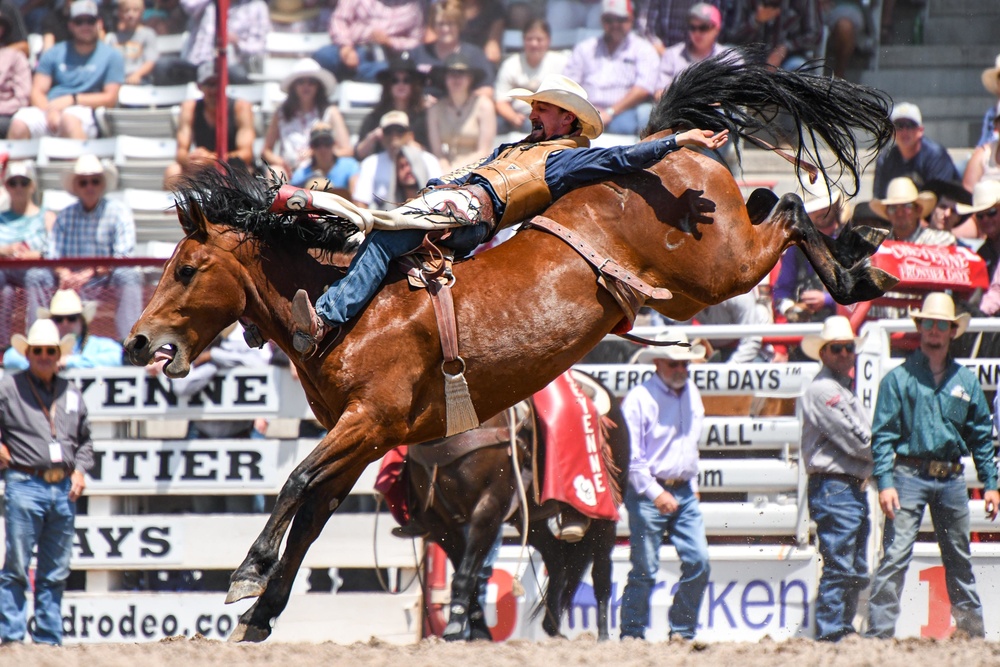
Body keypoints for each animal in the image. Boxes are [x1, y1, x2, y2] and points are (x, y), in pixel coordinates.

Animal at [404, 370, 624, 640]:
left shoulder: (488, 509)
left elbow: (465, 574)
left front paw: (455, 626)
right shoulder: (440, 524)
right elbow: (466, 571)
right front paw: (479, 630)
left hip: (605, 514)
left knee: (601, 571)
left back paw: (603, 635)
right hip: (530, 520)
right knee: (556, 561)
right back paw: (552, 627)